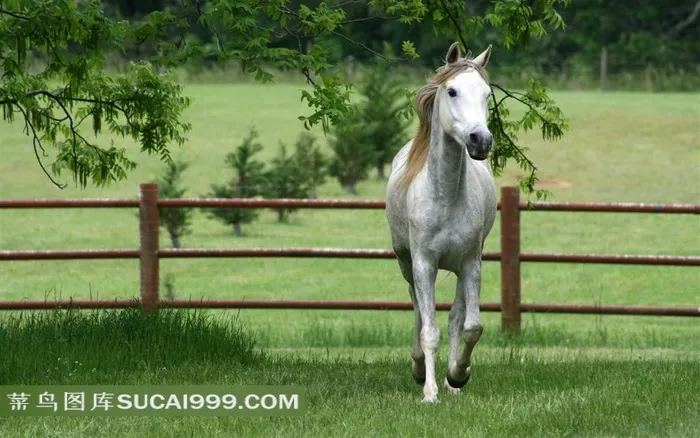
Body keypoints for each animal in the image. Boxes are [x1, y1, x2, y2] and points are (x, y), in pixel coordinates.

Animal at [385, 42, 498, 403]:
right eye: (452, 91)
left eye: (487, 94)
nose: (480, 140)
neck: (445, 197)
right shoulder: (424, 264)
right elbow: (429, 330)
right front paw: (430, 392)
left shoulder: (471, 263)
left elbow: (469, 326)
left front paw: (457, 375)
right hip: (406, 264)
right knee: (418, 310)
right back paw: (420, 369)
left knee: (455, 317)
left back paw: (450, 382)